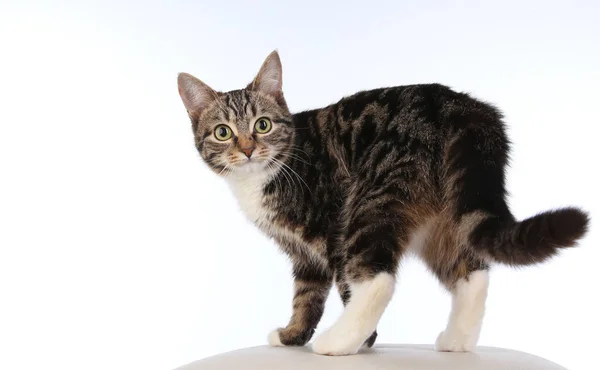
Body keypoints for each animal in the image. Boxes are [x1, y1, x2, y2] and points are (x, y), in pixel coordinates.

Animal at [176, 49, 588, 356]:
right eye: (223, 132)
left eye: (262, 125)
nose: (247, 149)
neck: (272, 169)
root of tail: (462, 108)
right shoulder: (304, 255)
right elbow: (306, 297)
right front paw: (292, 335)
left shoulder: (329, 230)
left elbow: (342, 287)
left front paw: (363, 342)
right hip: (440, 213)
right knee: (471, 271)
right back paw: (457, 340)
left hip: (372, 197)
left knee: (378, 279)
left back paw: (338, 341)